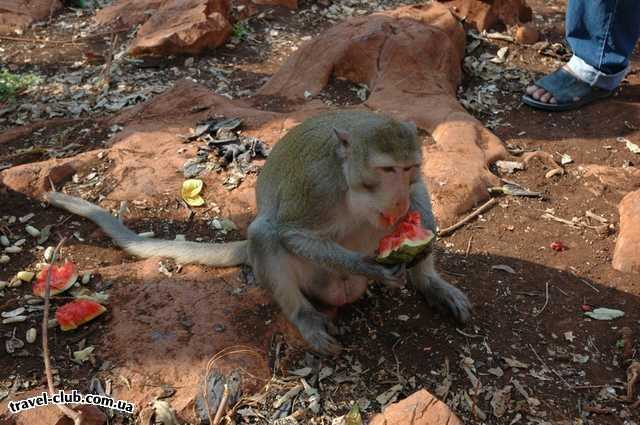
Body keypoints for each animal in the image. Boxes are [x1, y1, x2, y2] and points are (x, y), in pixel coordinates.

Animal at [43, 108, 470, 352]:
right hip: (315, 281)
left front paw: (423, 230)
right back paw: (303, 317)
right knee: (265, 233)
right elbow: (290, 232)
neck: (349, 174)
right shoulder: (317, 186)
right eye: (386, 169)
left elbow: (421, 197)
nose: (397, 200)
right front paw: (372, 266)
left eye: (409, 168)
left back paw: (429, 282)